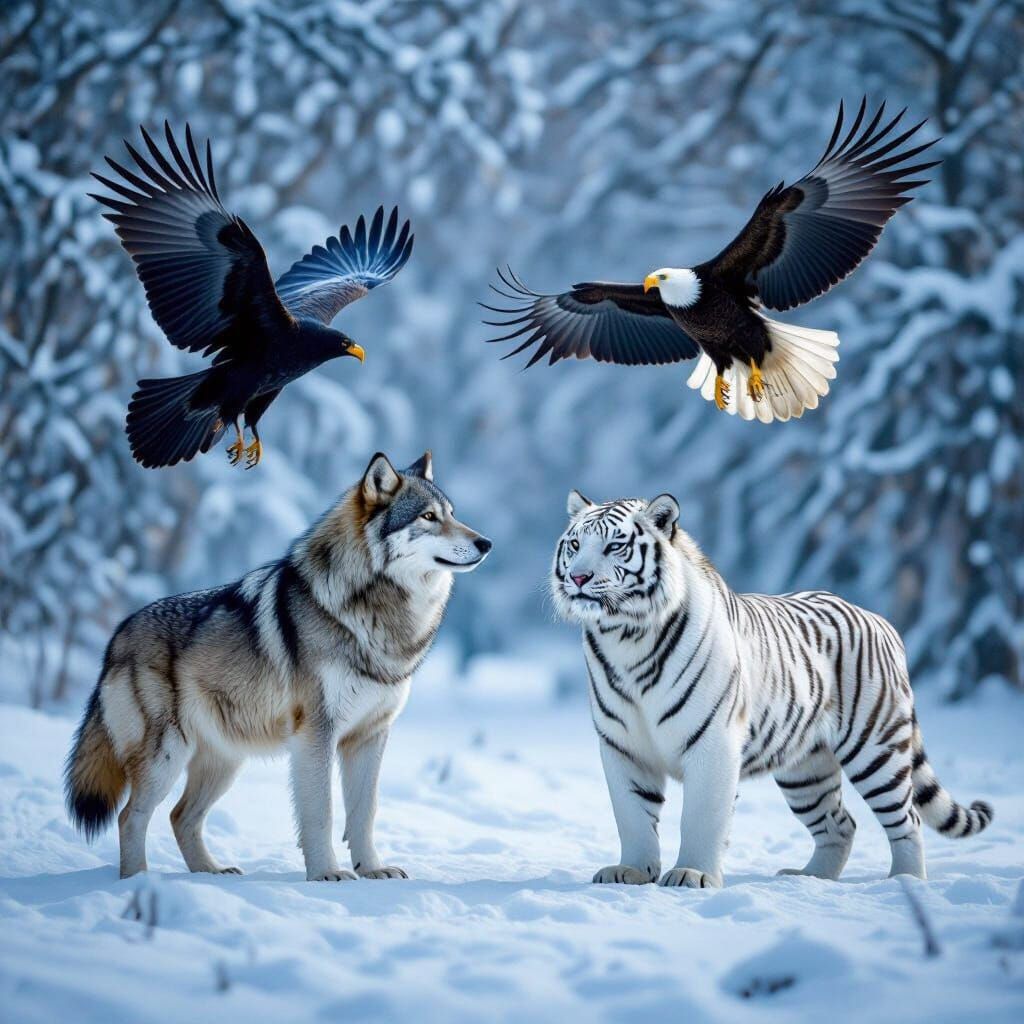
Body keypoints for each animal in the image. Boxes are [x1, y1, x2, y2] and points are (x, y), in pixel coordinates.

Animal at [65, 451, 491, 879]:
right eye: (428, 516)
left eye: (453, 514)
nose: (485, 543)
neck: (376, 612)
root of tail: (117, 634)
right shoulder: (316, 733)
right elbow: (321, 812)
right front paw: (327, 874)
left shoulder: (370, 735)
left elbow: (365, 811)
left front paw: (372, 870)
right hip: (168, 756)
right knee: (130, 817)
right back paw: (140, 882)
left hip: (225, 760)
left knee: (179, 816)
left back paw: (210, 872)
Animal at [550, 489, 993, 888]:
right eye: (575, 544)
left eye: (615, 545)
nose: (578, 577)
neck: (626, 636)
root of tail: (879, 620)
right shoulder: (623, 746)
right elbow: (633, 816)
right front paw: (631, 872)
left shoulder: (712, 743)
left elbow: (701, 817)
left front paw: (693, 874)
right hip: (806, 769)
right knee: (841, 824)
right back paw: (811, 879)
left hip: (875, 748)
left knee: (907, 819)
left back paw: (905, 881)